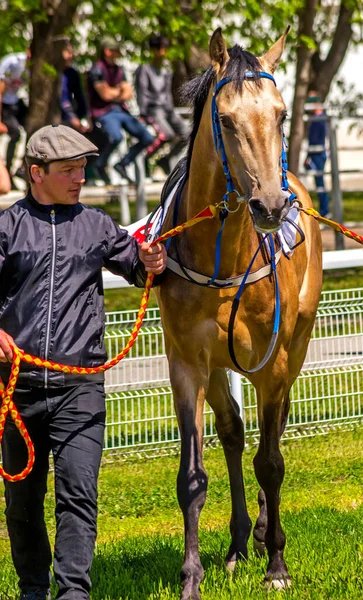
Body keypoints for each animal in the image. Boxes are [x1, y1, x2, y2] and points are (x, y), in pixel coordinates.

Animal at [154, 27, 322, 600]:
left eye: (282, 114)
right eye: (226, 120)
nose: (270, 205)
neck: (223, 255)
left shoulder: (273, 362)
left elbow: (271, 462)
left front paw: (278, 566)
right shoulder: (186, 363)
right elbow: (192, 477)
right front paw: (191, 577)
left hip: (294, 347)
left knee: (273, 431)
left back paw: (268, 535)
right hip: (220, 363)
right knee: (231, 433)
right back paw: (237, 544)